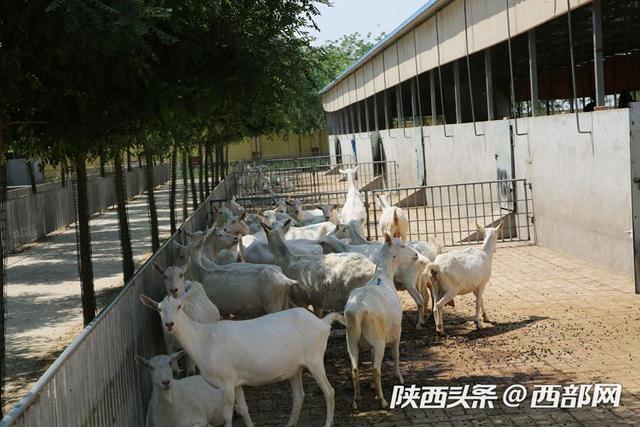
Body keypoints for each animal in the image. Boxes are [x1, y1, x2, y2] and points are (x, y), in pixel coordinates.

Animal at [139, 296, 340, 427]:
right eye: (159, 309)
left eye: (179, 306)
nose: (169, 324)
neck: (203, 340)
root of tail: (323, 322)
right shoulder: (236, 382)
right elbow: (243, 409)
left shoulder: (226, 380)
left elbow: (227, 415)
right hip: (294, 369)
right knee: (299, 397)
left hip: (315, 359)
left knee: (329, 391)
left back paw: (327, 423)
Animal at [342, 236, 428, 410]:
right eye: (402, 245)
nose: (416, 255)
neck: (384, 276)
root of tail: (357, 311)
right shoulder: (397, 331)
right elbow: (396, 354)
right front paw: (399, 377)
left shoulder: (370, 344)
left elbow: (371, 358)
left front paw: (371, 385)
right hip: (378, 340)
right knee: (376, 369)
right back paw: (382, 400)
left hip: (351, 340)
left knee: (354, 369)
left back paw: (357, 401)